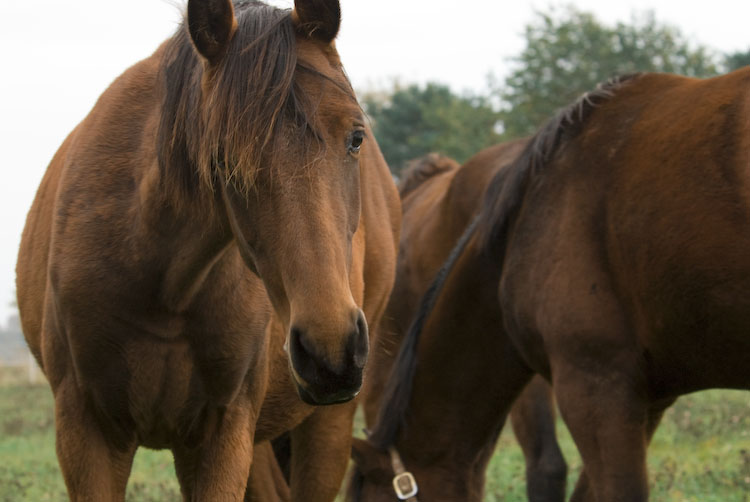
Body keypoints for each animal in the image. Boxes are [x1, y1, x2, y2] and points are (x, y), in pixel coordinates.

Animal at [15, 1, 399, 500]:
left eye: (355, 137)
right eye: (222, 157)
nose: (330, 350)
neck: (165, 288)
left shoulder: (221, 435)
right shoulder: (87, 432)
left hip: (327, 421)